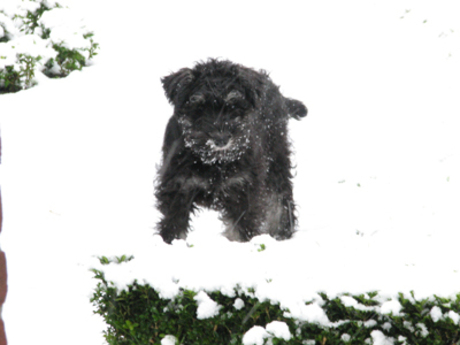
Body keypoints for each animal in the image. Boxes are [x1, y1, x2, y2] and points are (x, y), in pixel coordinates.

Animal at [156, 58, 308, 242]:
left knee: (280, 199)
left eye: (234, 105)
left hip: (276, 161)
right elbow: (174, 226)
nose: (221, 139)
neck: (213, 161)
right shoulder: (179, 188)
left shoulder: (241, 189)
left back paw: (282, 232)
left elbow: (240, 230)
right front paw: (169, 242)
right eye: (199, 106)